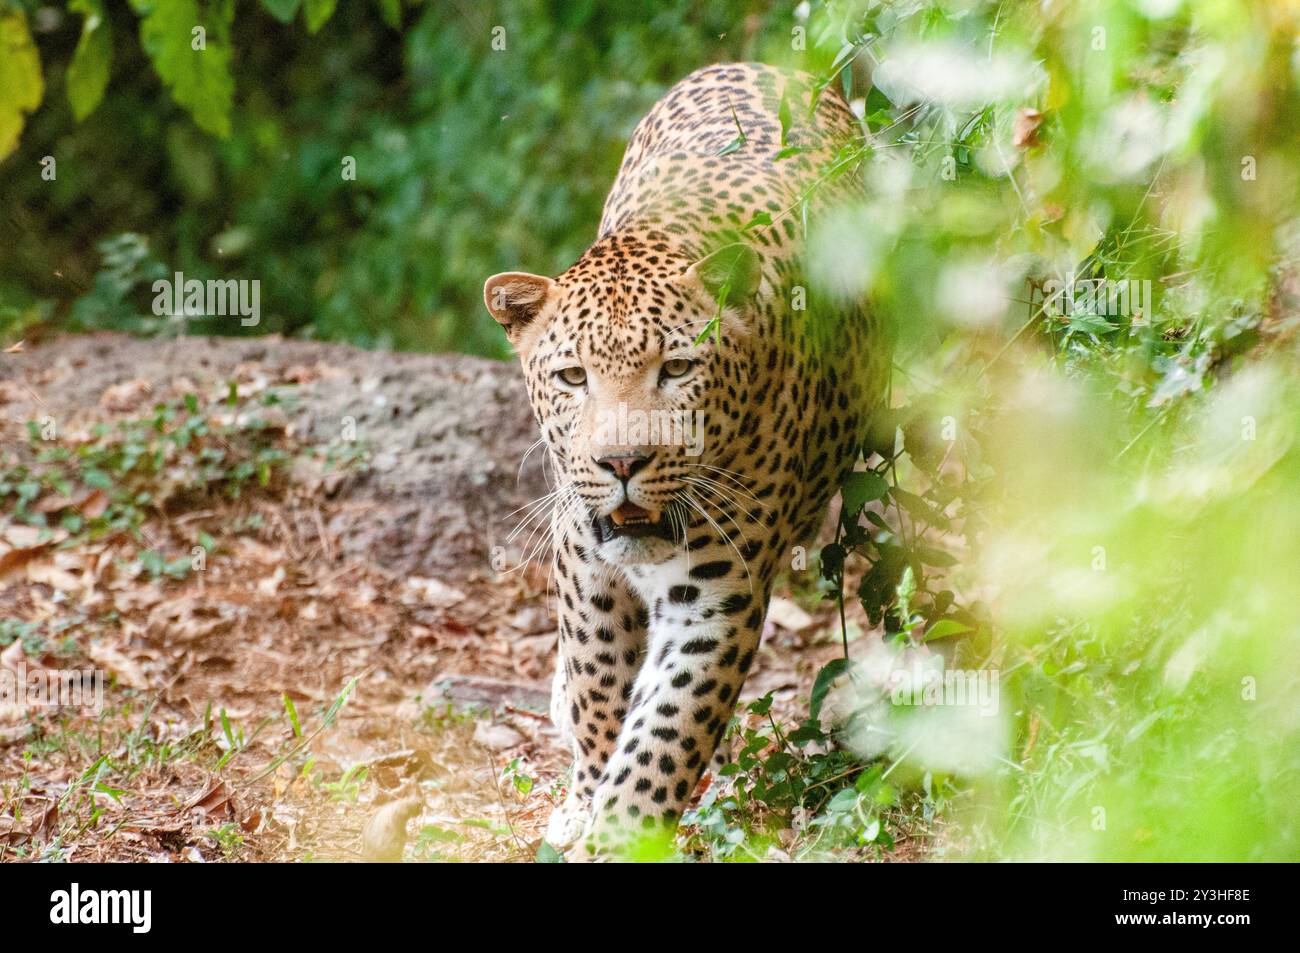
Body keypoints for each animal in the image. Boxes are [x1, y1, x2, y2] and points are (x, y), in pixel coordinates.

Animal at [486, 63, 883, 858]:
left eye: (675, 369)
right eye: (572, 377)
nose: (622, 462)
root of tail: (763, 65)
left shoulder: (716, 592)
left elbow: (667, 726)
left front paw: (621, 830)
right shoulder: (582, 560)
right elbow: (599, 683)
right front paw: (587, 795)